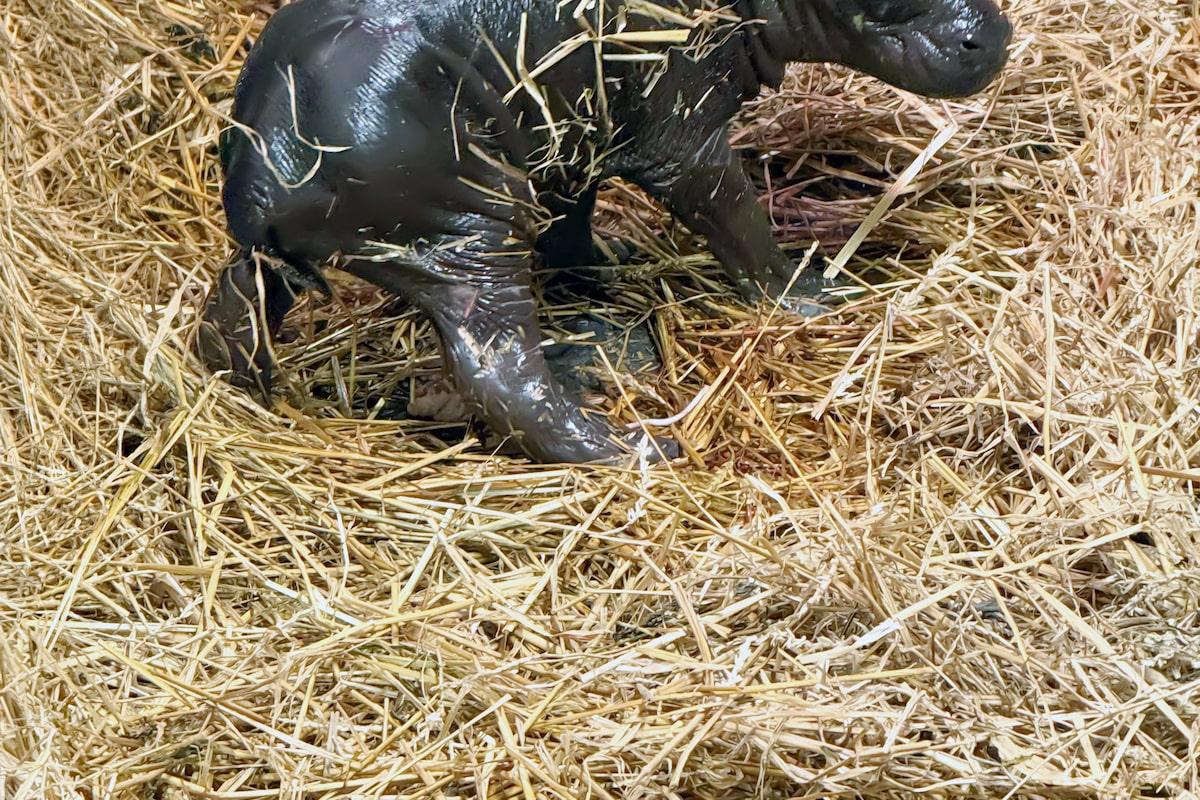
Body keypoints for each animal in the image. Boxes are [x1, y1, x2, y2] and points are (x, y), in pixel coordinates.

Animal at [197, 0, 1011, 462]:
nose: (996, 33)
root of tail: (272, 157)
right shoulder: (678, 125)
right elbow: (734, 214)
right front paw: (814, 295)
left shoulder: (576, 125)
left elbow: (573, 215)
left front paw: (605, 269)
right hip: (469, 236)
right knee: (501, 373)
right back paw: (637, 446)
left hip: (319, 249)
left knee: (235, 304)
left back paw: (247, 392)